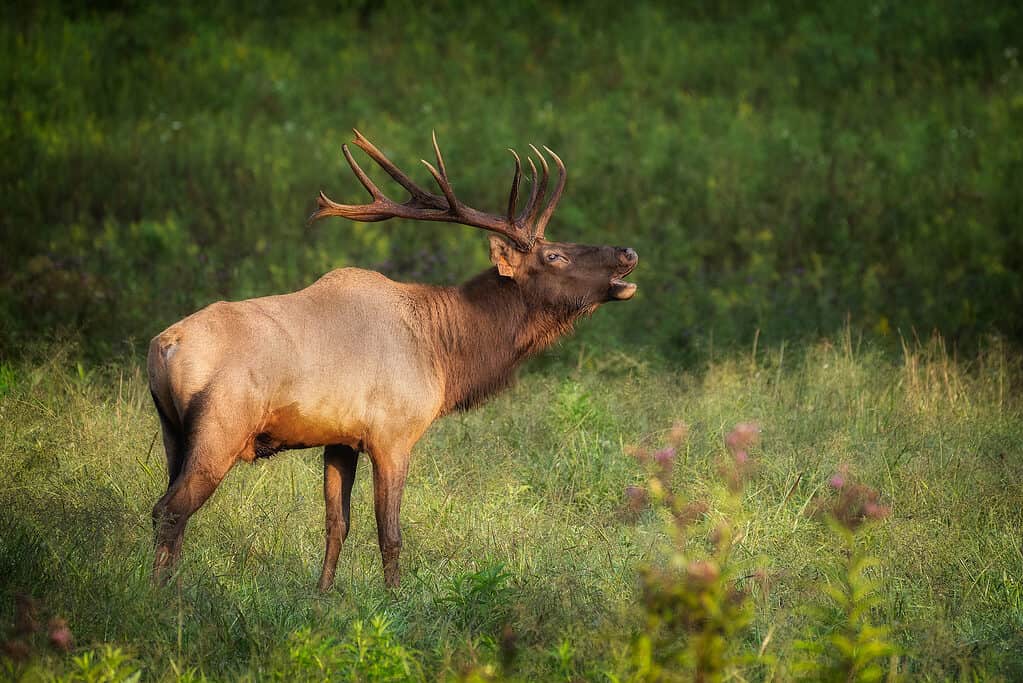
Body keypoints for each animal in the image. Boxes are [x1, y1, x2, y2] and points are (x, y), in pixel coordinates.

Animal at [148, 130, 634, 588]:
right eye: (554, 255)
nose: (627, 252)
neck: (446, 356)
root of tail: (163, 346)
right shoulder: (393, 434)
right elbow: (390, 533)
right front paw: (396, 598)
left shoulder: (341, 439)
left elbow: (336, 524)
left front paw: (323, 594)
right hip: (222, 427)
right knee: (170, 510)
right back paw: (160, 593)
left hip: (173, 432)